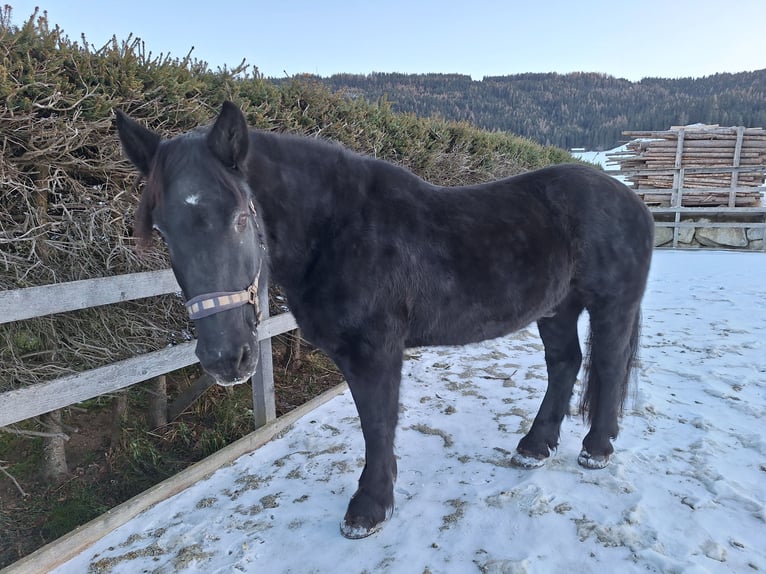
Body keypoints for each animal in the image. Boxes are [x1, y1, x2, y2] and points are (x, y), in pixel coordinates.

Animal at [117, 102, 656, 540]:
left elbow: (376, 423)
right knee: (565, 364)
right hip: (556, 309)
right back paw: (534, 446)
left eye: (240, 217)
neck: (338, 229)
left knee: (607, 366)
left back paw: (596, 449)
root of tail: (632, 199)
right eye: (162, 229)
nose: (226, 358)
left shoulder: (375, 351)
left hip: (612, 305)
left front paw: (368, 509)